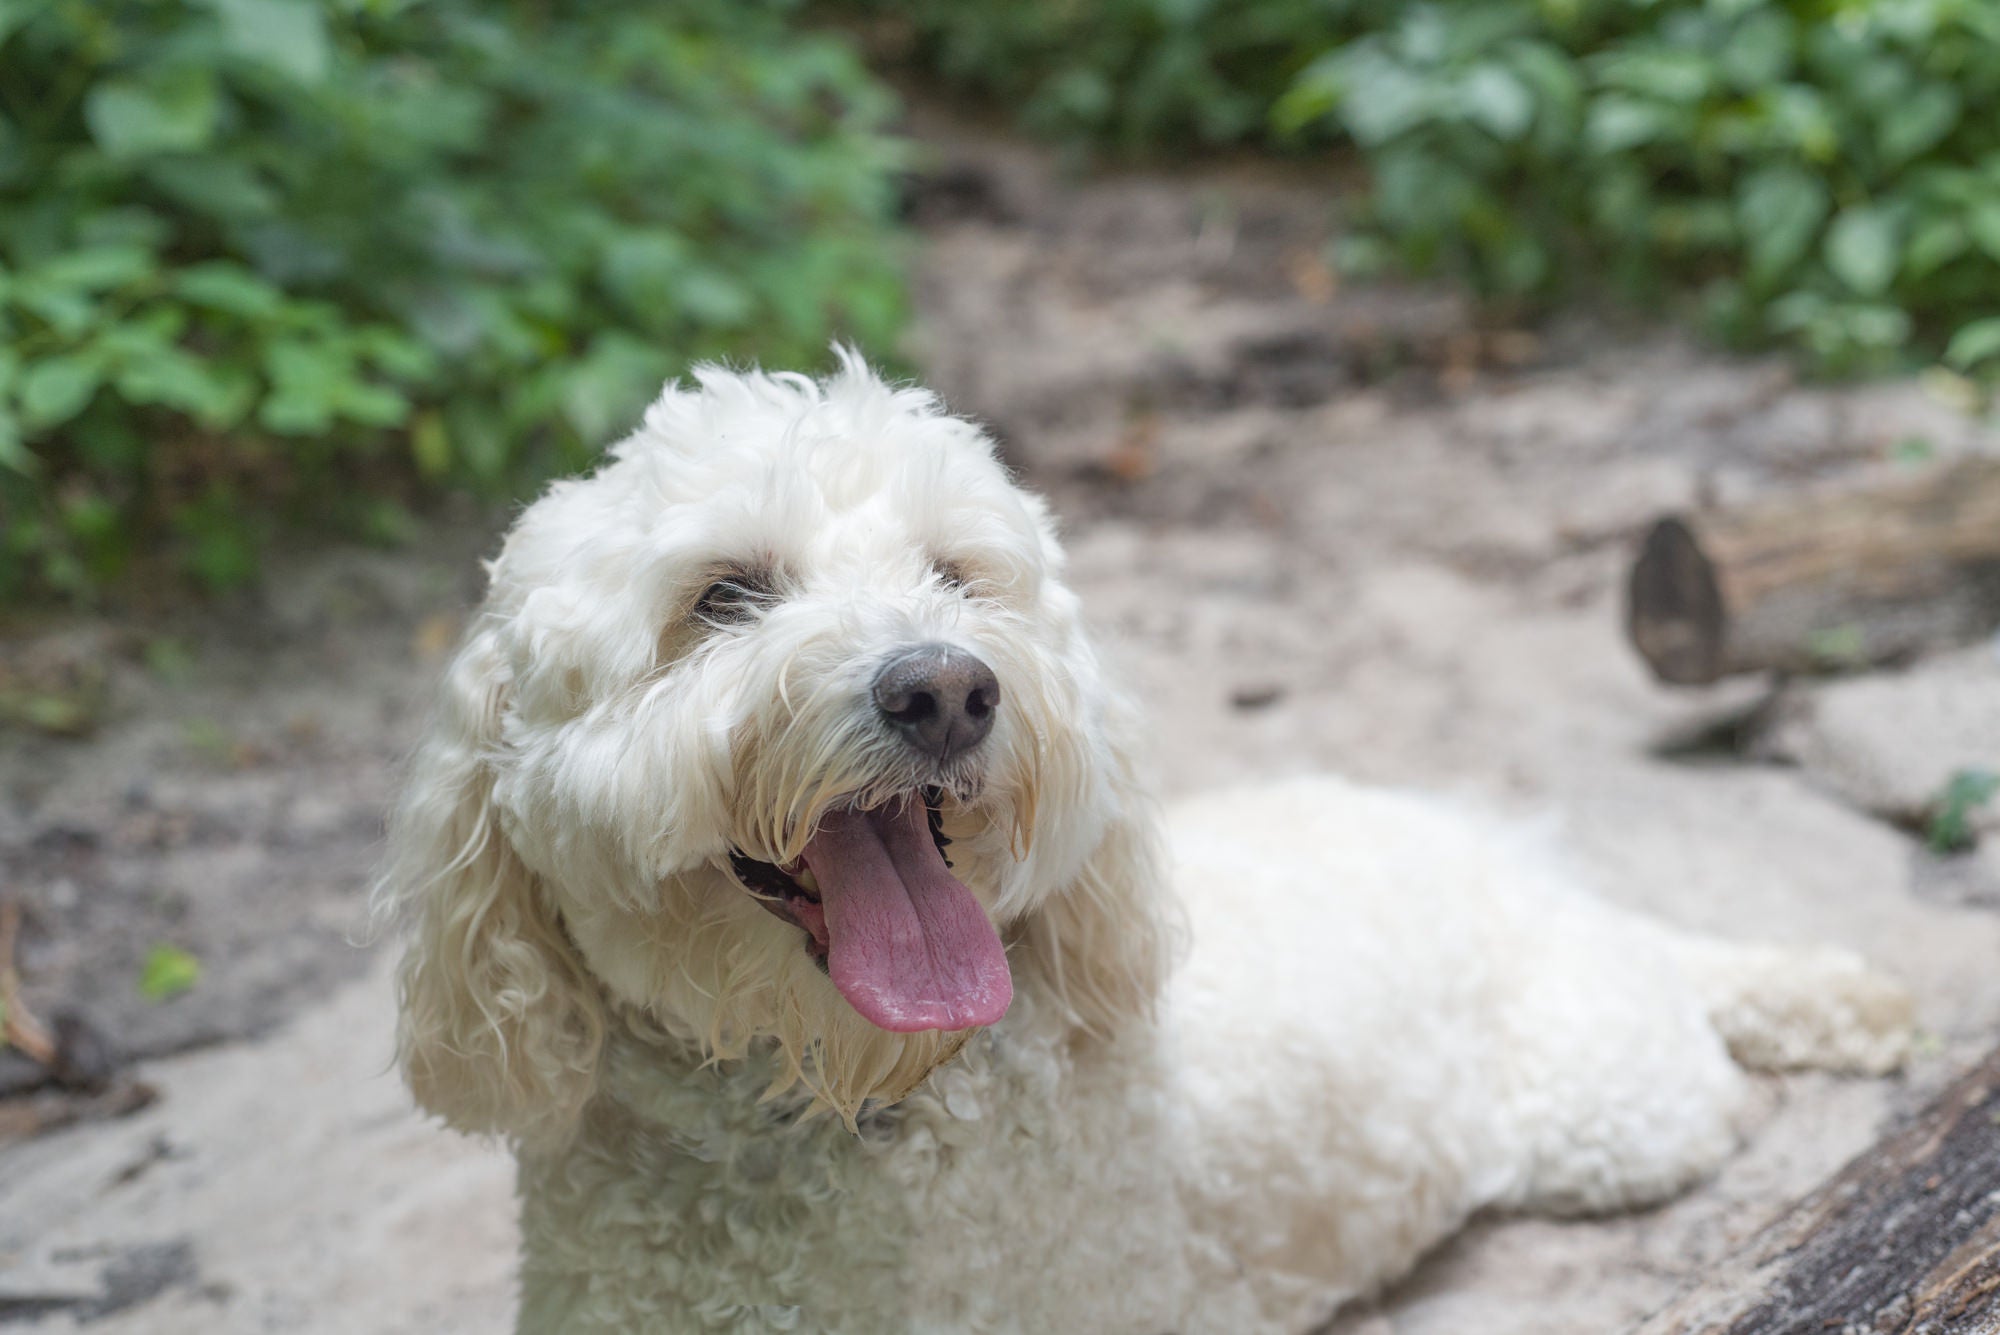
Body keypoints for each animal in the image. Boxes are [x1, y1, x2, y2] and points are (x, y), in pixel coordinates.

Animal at [372, 353, 1904, 1335]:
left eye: (955, 575)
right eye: (723, 595)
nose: (946, 687)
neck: (846, 1111)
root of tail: (1529, 870)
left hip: (1610, 1115)